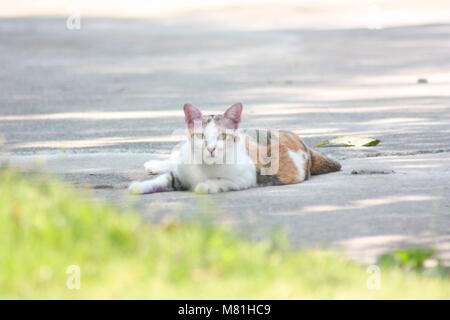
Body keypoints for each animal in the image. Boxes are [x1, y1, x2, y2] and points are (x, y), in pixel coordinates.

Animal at [128, 102, 340, 195]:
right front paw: (139, 187)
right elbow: (164, 179)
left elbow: (219, 181)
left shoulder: (246, 178)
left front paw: (204, 185)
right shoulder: (179, 173)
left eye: (222, 136)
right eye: (201, 136)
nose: (211, 148)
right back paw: (155, 164)